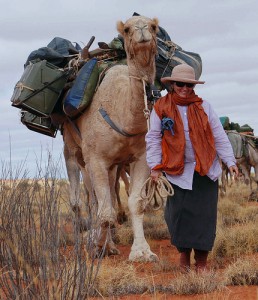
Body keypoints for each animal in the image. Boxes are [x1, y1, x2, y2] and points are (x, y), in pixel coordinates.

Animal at [62, 15, 159, 262]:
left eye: (154, 27)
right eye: (126, 29)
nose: (142, 29)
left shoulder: (140, 158)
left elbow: (135, 204)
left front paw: (142, 251)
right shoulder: (96, 158)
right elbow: (103, 208)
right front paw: (97, 247)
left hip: (113, 165)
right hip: (73, 148)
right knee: (82, 197)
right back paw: (83, 238)